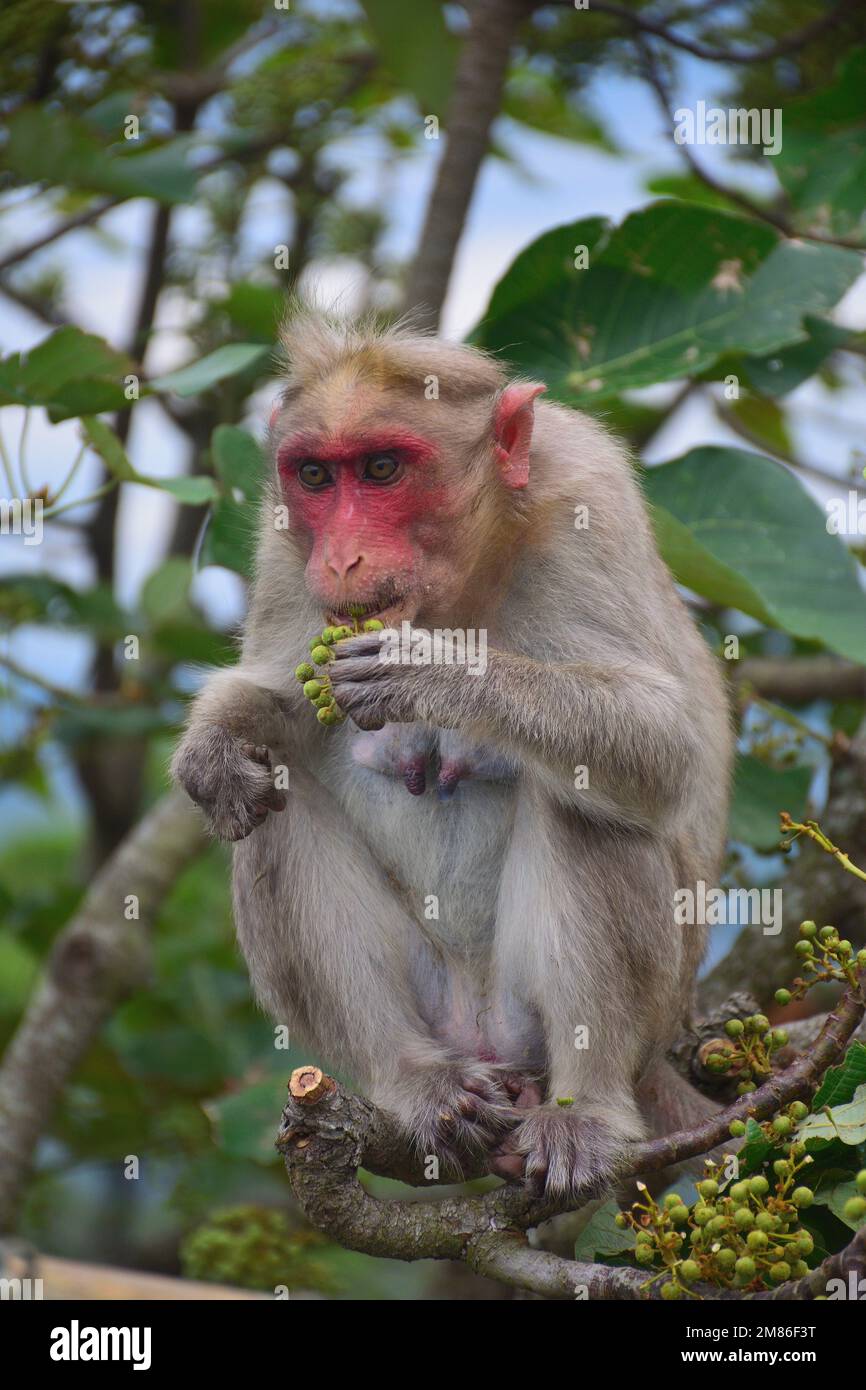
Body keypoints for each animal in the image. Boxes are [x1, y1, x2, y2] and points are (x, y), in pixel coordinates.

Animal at [173, 309, 733, 1200]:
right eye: (315, 478)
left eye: (382, 468)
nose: (341, 557)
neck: (467, 580)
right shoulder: (282, 543)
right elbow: (283, 711)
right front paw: (213, 746)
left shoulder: (590, 497)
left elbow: (664, 744)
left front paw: (431, 671)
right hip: (435, 1009)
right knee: (271, 810)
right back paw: (415, 1080)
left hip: (588, 1016)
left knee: (587, 802)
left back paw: (589, 1108)